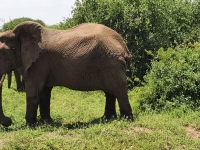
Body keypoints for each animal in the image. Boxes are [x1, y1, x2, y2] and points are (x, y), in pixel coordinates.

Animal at [0, 21, 134, 126]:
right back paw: (106, 119)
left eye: (2, 53)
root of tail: (124, 46)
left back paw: (126, 120)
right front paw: (46, 122)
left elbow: (33, 93)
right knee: (110, 92)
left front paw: (30, 125)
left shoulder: (38, 62)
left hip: (112, 62)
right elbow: (44, 93)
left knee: (119, 90)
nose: (10, 121)